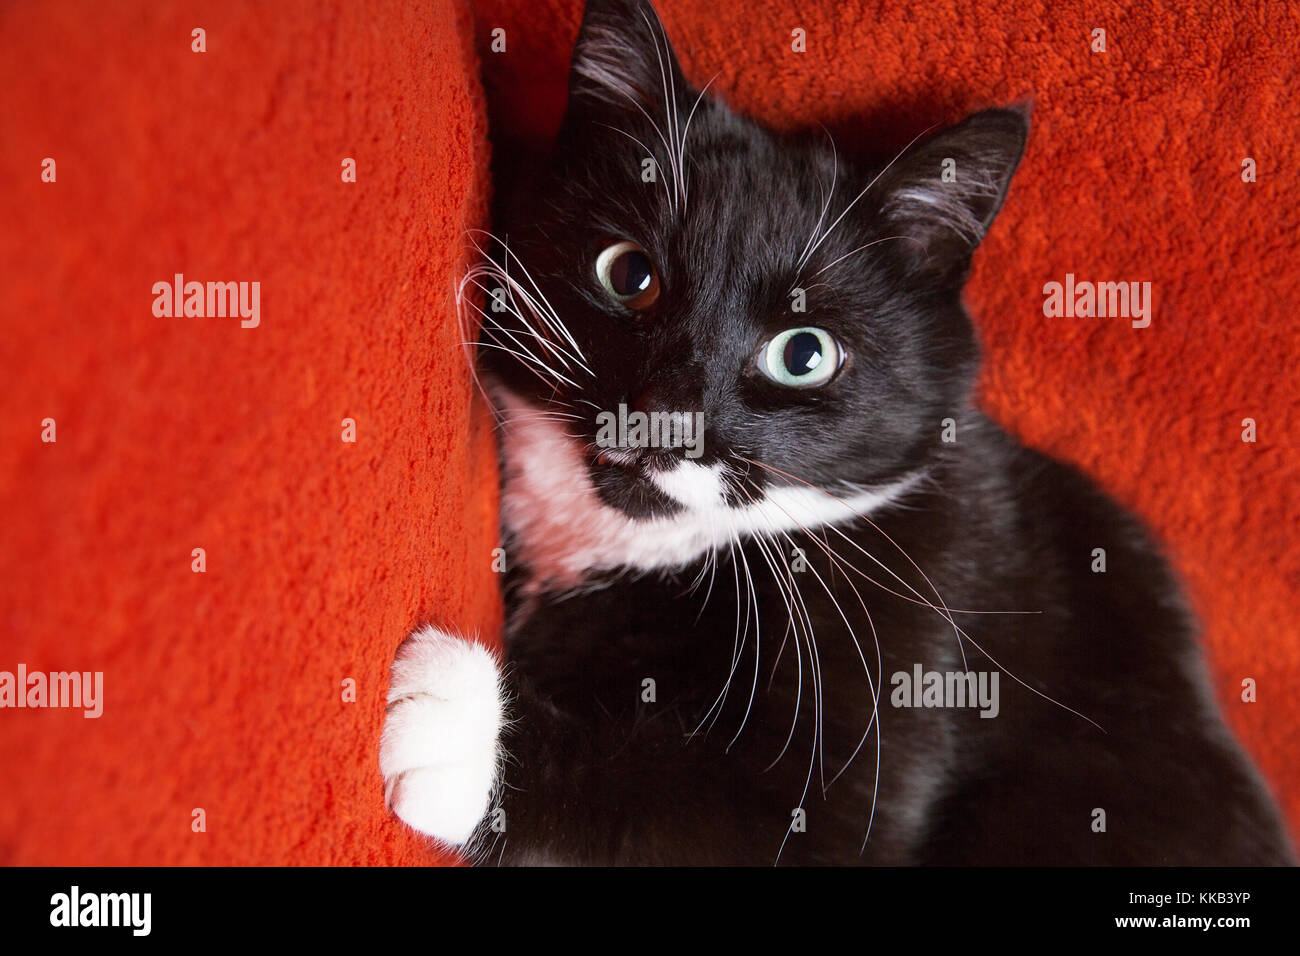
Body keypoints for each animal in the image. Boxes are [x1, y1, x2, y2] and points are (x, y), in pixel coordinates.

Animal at [377, 0, 1289, 868]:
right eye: (628, 273)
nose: (665, 413)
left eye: (804, 353)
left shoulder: (914, 657)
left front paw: (454, 722)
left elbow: (714, 806)